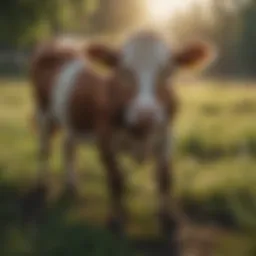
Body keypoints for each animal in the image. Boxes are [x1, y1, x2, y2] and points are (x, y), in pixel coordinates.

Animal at [30, 31, 216, 243]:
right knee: (44, 149)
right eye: (124, 72)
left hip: (71, 121)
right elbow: (117, 181)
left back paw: (71, 186)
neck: (141, 134)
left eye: (168, 71)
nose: (146, 114)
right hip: (43, 113)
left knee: (68, 146)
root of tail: (62, 43)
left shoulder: (166, 137)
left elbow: (165, 179)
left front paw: (168, 219)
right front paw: (117, 220)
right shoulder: (105, 143)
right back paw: (41, 185)